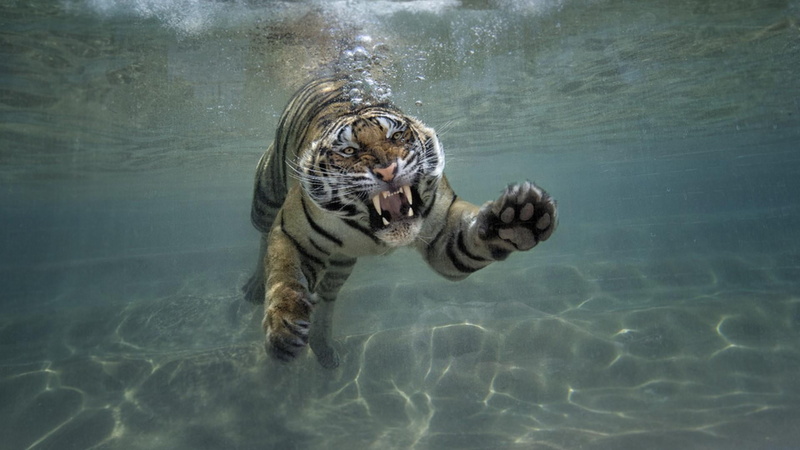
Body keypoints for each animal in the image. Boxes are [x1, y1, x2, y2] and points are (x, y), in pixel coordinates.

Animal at [243, 76, 557, 368]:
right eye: (349, 151)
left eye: (396, 136)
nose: (387, 170)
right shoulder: (292, 234)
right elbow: (285, 275)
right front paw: (284, 327)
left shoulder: (443, 234)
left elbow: (471, 240)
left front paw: (519, 219)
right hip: (266, 196)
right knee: (263, 236)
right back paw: (255, 289)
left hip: (341, 263)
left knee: (328, 295)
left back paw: (325, 350)